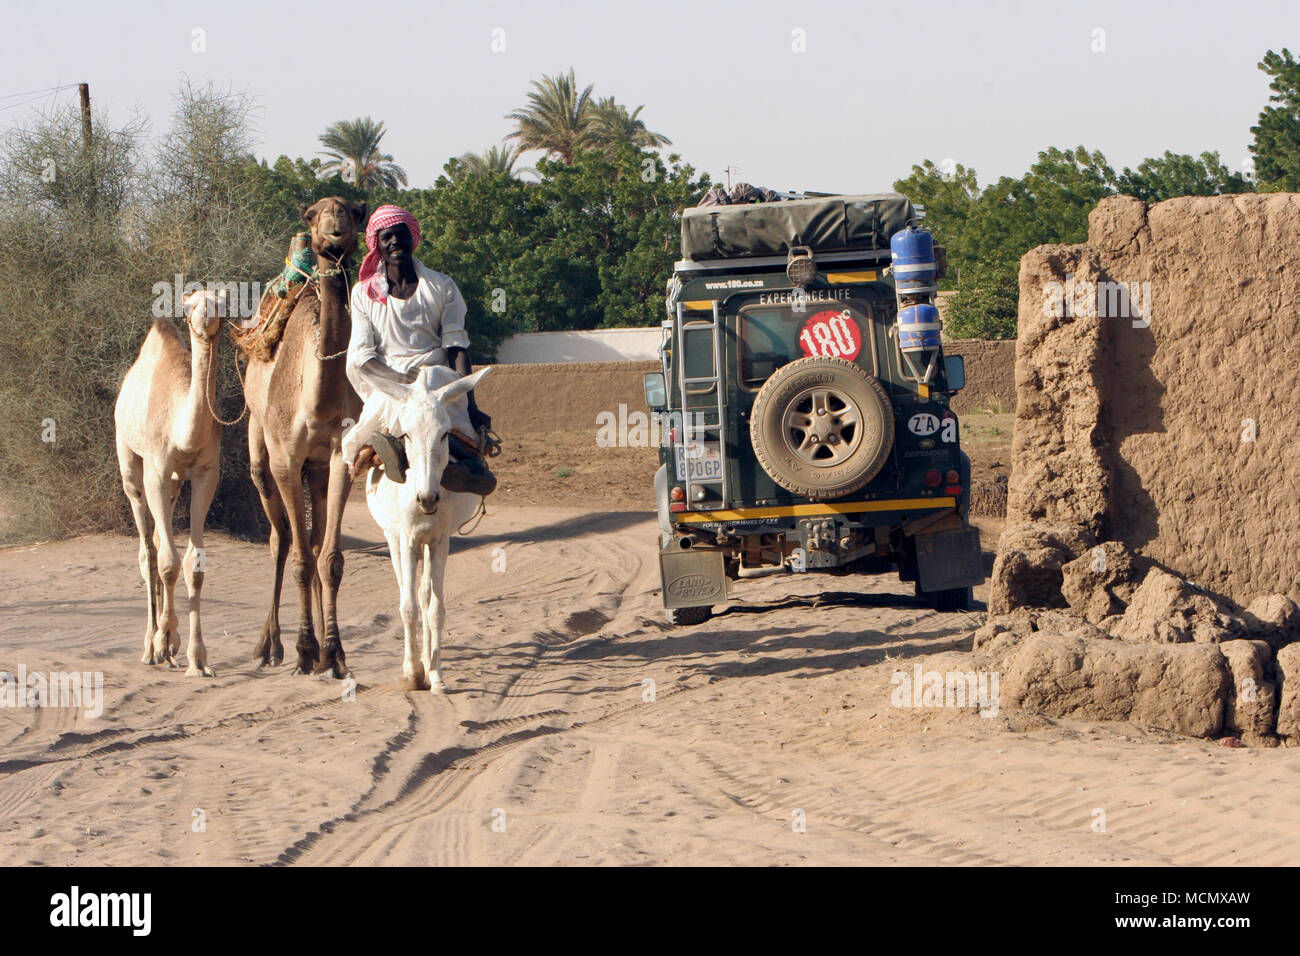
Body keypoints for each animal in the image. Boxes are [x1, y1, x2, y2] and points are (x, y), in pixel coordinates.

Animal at [114, 287, 228, 676]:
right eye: (190, 304)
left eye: (221, 302)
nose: (205, 317)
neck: (182, 433)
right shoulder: (157, 473)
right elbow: (166, 562)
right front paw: (162, 644)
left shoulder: (207, 474)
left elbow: (194, 563)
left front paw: (198, 657)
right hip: (129, 461)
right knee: (147, 551)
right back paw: (150, 646)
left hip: (177, 485)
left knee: (158, 545)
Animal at [243, 195, 366, 676]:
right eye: (314, 214)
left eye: (353, 211)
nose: (334, 231)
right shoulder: (285, 458)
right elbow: (296, 557)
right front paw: (303, 649)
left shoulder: (340, 456)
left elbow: (328, 558)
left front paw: (332, 653)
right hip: (260, 443)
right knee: (280, 540)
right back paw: (268, 645)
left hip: (315, 467)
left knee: (313, 545)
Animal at [343, 364, 488, 686]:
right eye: (406, 435)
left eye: (446, 434)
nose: (427, 499)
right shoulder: (407, 539)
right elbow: (407, 607)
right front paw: (412, 672)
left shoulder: (440, 540)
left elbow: (434, 607)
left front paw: (434, 672)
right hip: (393, 538)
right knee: (405, 591)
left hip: (427, 544)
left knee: (424, 595)